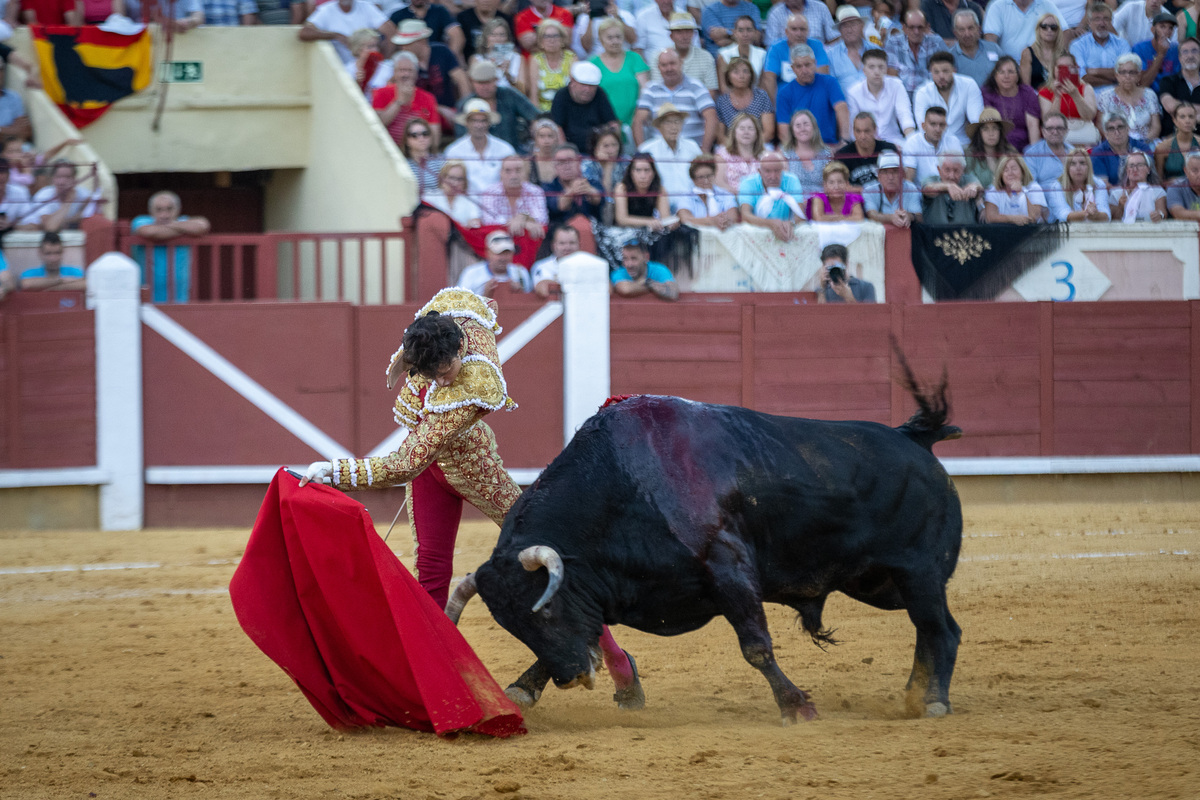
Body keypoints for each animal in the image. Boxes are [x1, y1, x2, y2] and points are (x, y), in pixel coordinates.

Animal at [446, 388, 960, 724]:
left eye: (546, 609)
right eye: (515, 625)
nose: (571, 679)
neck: (623, 487)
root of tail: (912, 439)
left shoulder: (729, 571)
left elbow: (756, 647)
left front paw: (797, 706)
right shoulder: (613, 590)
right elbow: (590, 634)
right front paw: (524, 688)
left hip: (918, 572)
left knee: (940, 628)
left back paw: (933, 700)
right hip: (880, 583)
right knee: (931, 628)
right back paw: (916, 695)